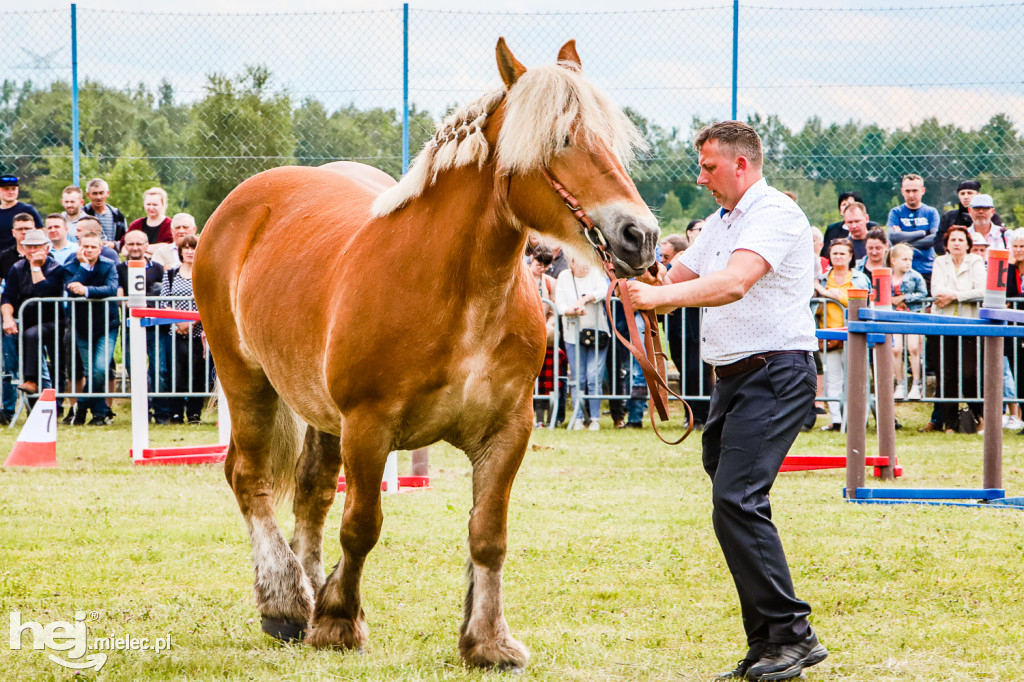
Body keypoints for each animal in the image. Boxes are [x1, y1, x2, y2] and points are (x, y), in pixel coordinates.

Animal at [192, 38, 655, 667]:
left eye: (609, 139)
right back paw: (286, 603)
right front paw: (339, 621)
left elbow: (488, 534)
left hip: (318, 413)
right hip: (247, 379)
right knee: (249, 478)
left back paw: (306, 591)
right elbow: (362, 525)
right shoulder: (368, 426)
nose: (641, 236)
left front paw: (488, 640)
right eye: (560, 139)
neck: (460, 297)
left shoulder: (508, 431)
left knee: (312, 492)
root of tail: (243, 203)